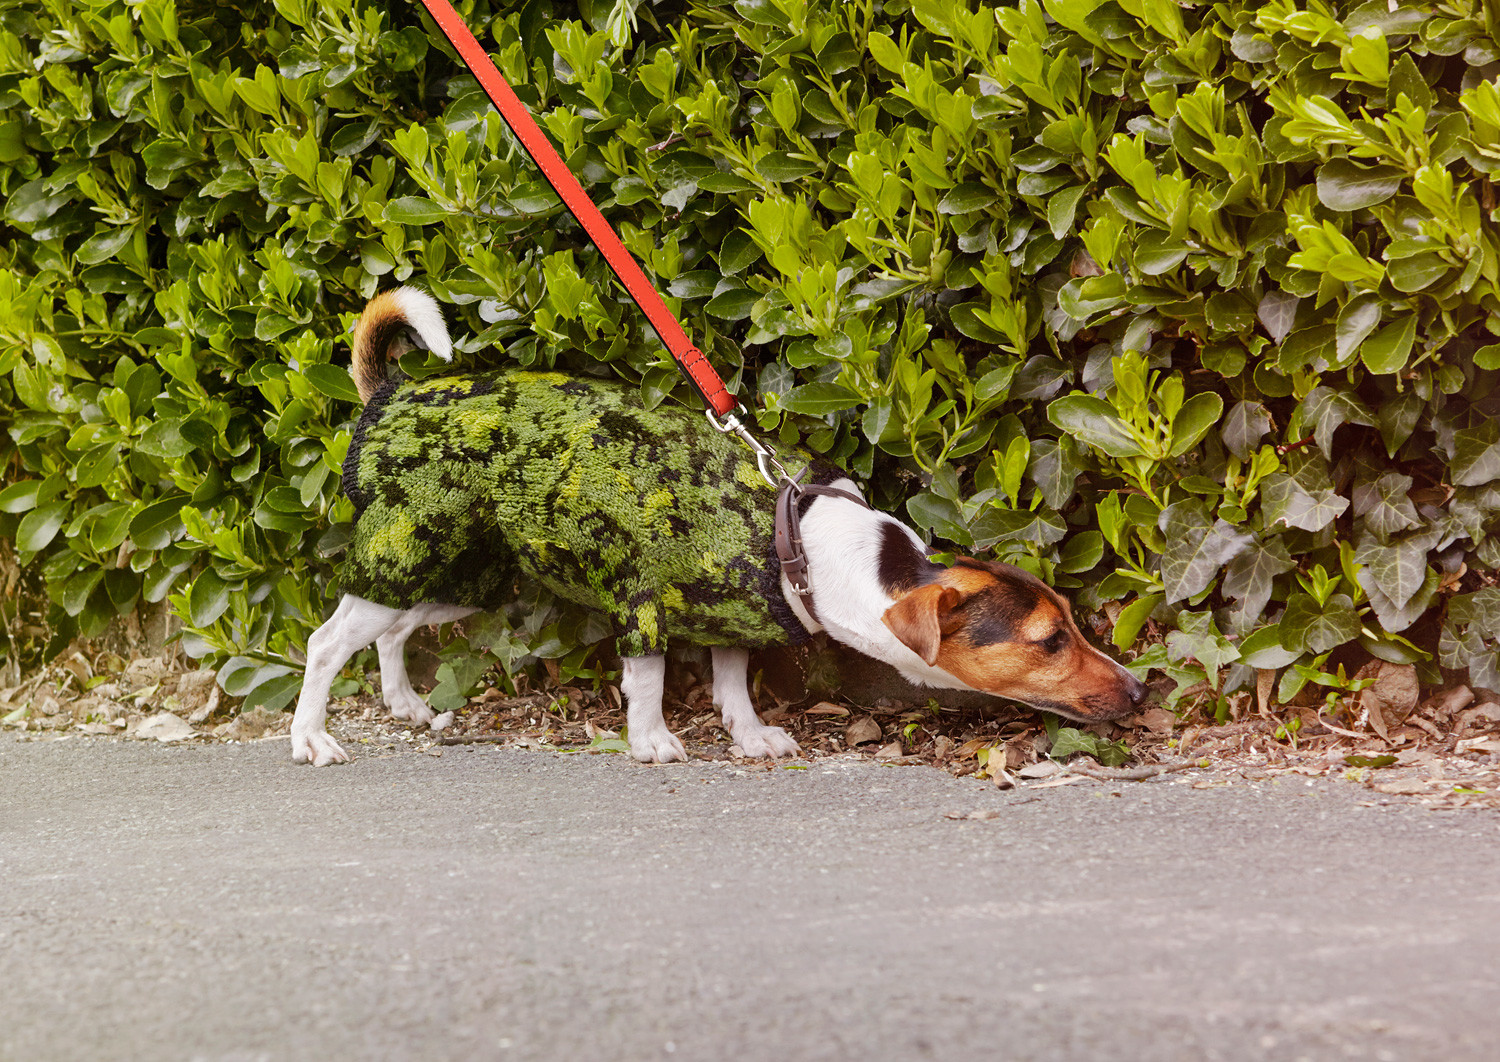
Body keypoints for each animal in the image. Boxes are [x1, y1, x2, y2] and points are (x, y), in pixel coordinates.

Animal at [286, 286, 1140, 768]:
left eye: (1071, 625)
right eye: (1049, 643)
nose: (1138, 688)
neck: (811, 541)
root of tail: (390, 396)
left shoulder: (734, 615)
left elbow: (732, 680)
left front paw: (750, 734)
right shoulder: (644, 608)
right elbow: (649, 680)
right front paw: (651, 739)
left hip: (463, 577)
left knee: (393, 631)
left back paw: (404, 702)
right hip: (406, 552)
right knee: (325, 643)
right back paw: (312, 738)